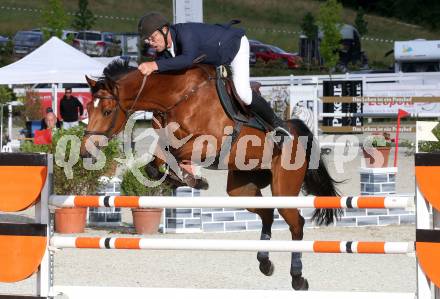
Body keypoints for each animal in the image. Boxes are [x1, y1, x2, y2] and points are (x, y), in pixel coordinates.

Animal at [80, 59, 340, 292]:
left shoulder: (209, 144)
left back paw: (298, 278)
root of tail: (296, 130)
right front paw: (187, 179)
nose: (85, 152)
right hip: (242, 190)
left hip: (283, 188)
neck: (179, 96)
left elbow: (172, 153)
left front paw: (194, 179)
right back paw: (265, 263)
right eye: (88, 110)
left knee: (296, 224)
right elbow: (157, 161)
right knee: (266, 214)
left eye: (107, 111)